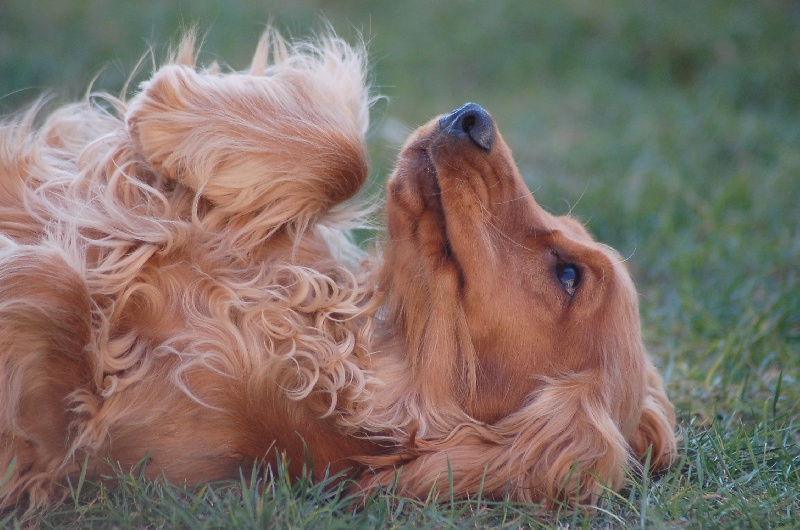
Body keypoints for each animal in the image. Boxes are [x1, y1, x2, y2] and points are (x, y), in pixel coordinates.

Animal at [0, 31, 676, 510]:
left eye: (569, 275)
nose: (472, 117)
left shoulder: (90, 445)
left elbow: (54, 291)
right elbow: (344, 155)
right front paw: (175, 110)